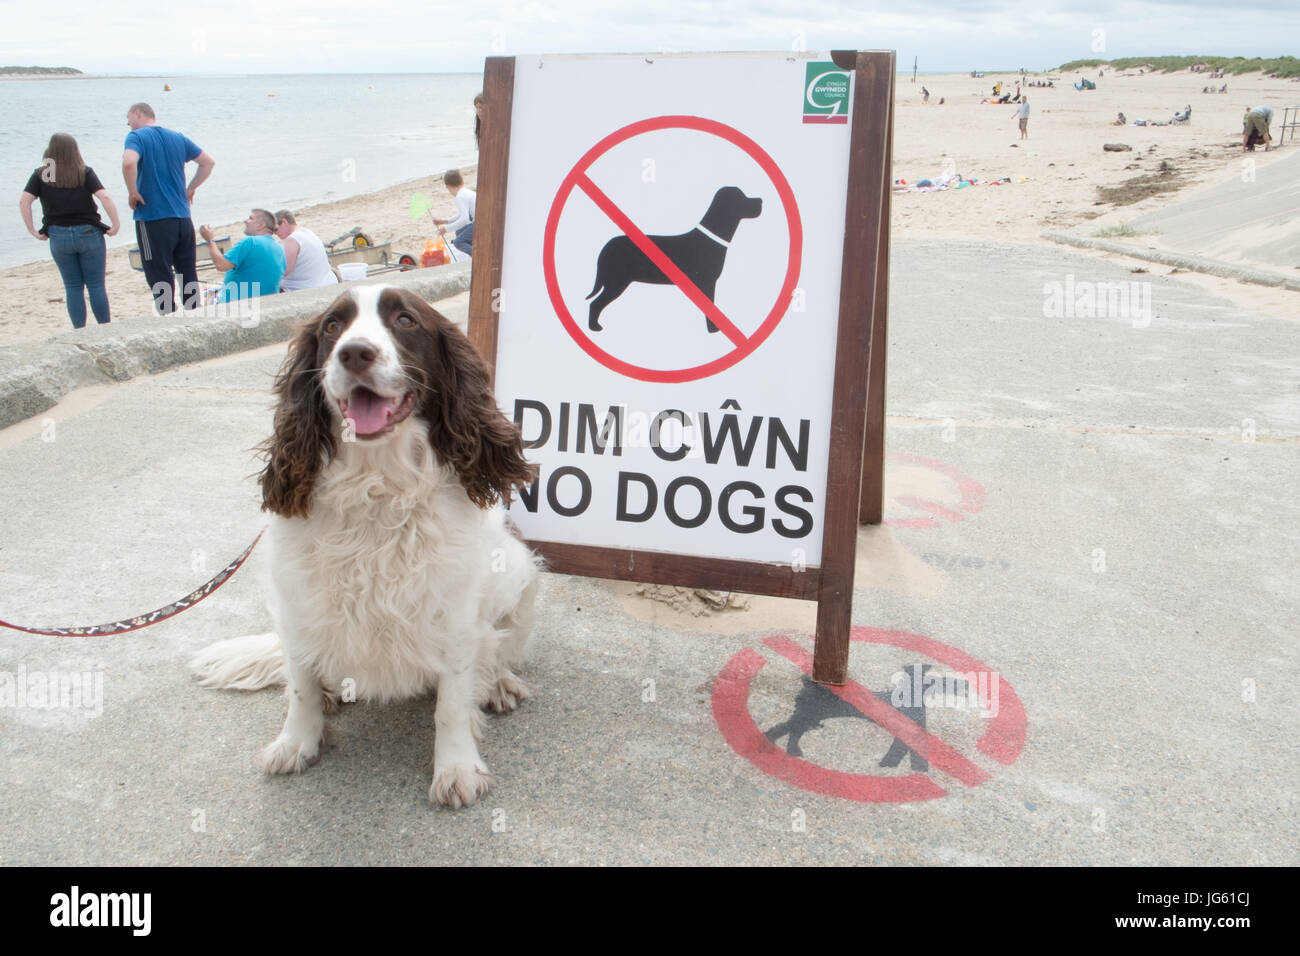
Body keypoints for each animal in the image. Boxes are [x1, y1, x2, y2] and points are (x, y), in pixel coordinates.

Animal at [188, 283, 538, 806]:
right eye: (333, 326)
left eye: (405, 320)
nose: (355, 352)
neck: (377, 486)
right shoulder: (296, 606)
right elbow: (300, 687)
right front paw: (298, 742)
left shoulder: (456, 617)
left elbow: (453, 703)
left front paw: (456, 766)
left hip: (523, 577)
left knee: (494, 652)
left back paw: (497, 684)